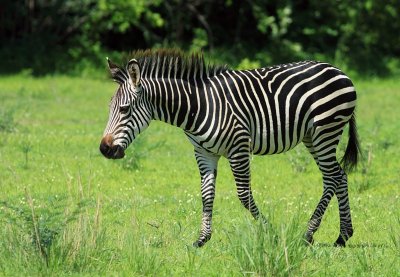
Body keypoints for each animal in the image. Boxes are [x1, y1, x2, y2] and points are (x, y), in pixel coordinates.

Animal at [99, 48, 360, 247]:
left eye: (124, 109)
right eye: (109, 108)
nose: (104, 150)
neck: (198, 107)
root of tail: (338, 71)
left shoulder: (239, 147)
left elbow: (244, 195)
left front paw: (271, 233)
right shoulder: (204, 153)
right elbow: (206, 194)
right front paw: (202, 239)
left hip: (325, 131)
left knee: (332, 177)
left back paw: (310, 233)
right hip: (312, 137)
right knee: (339, 176)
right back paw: (342, 236)